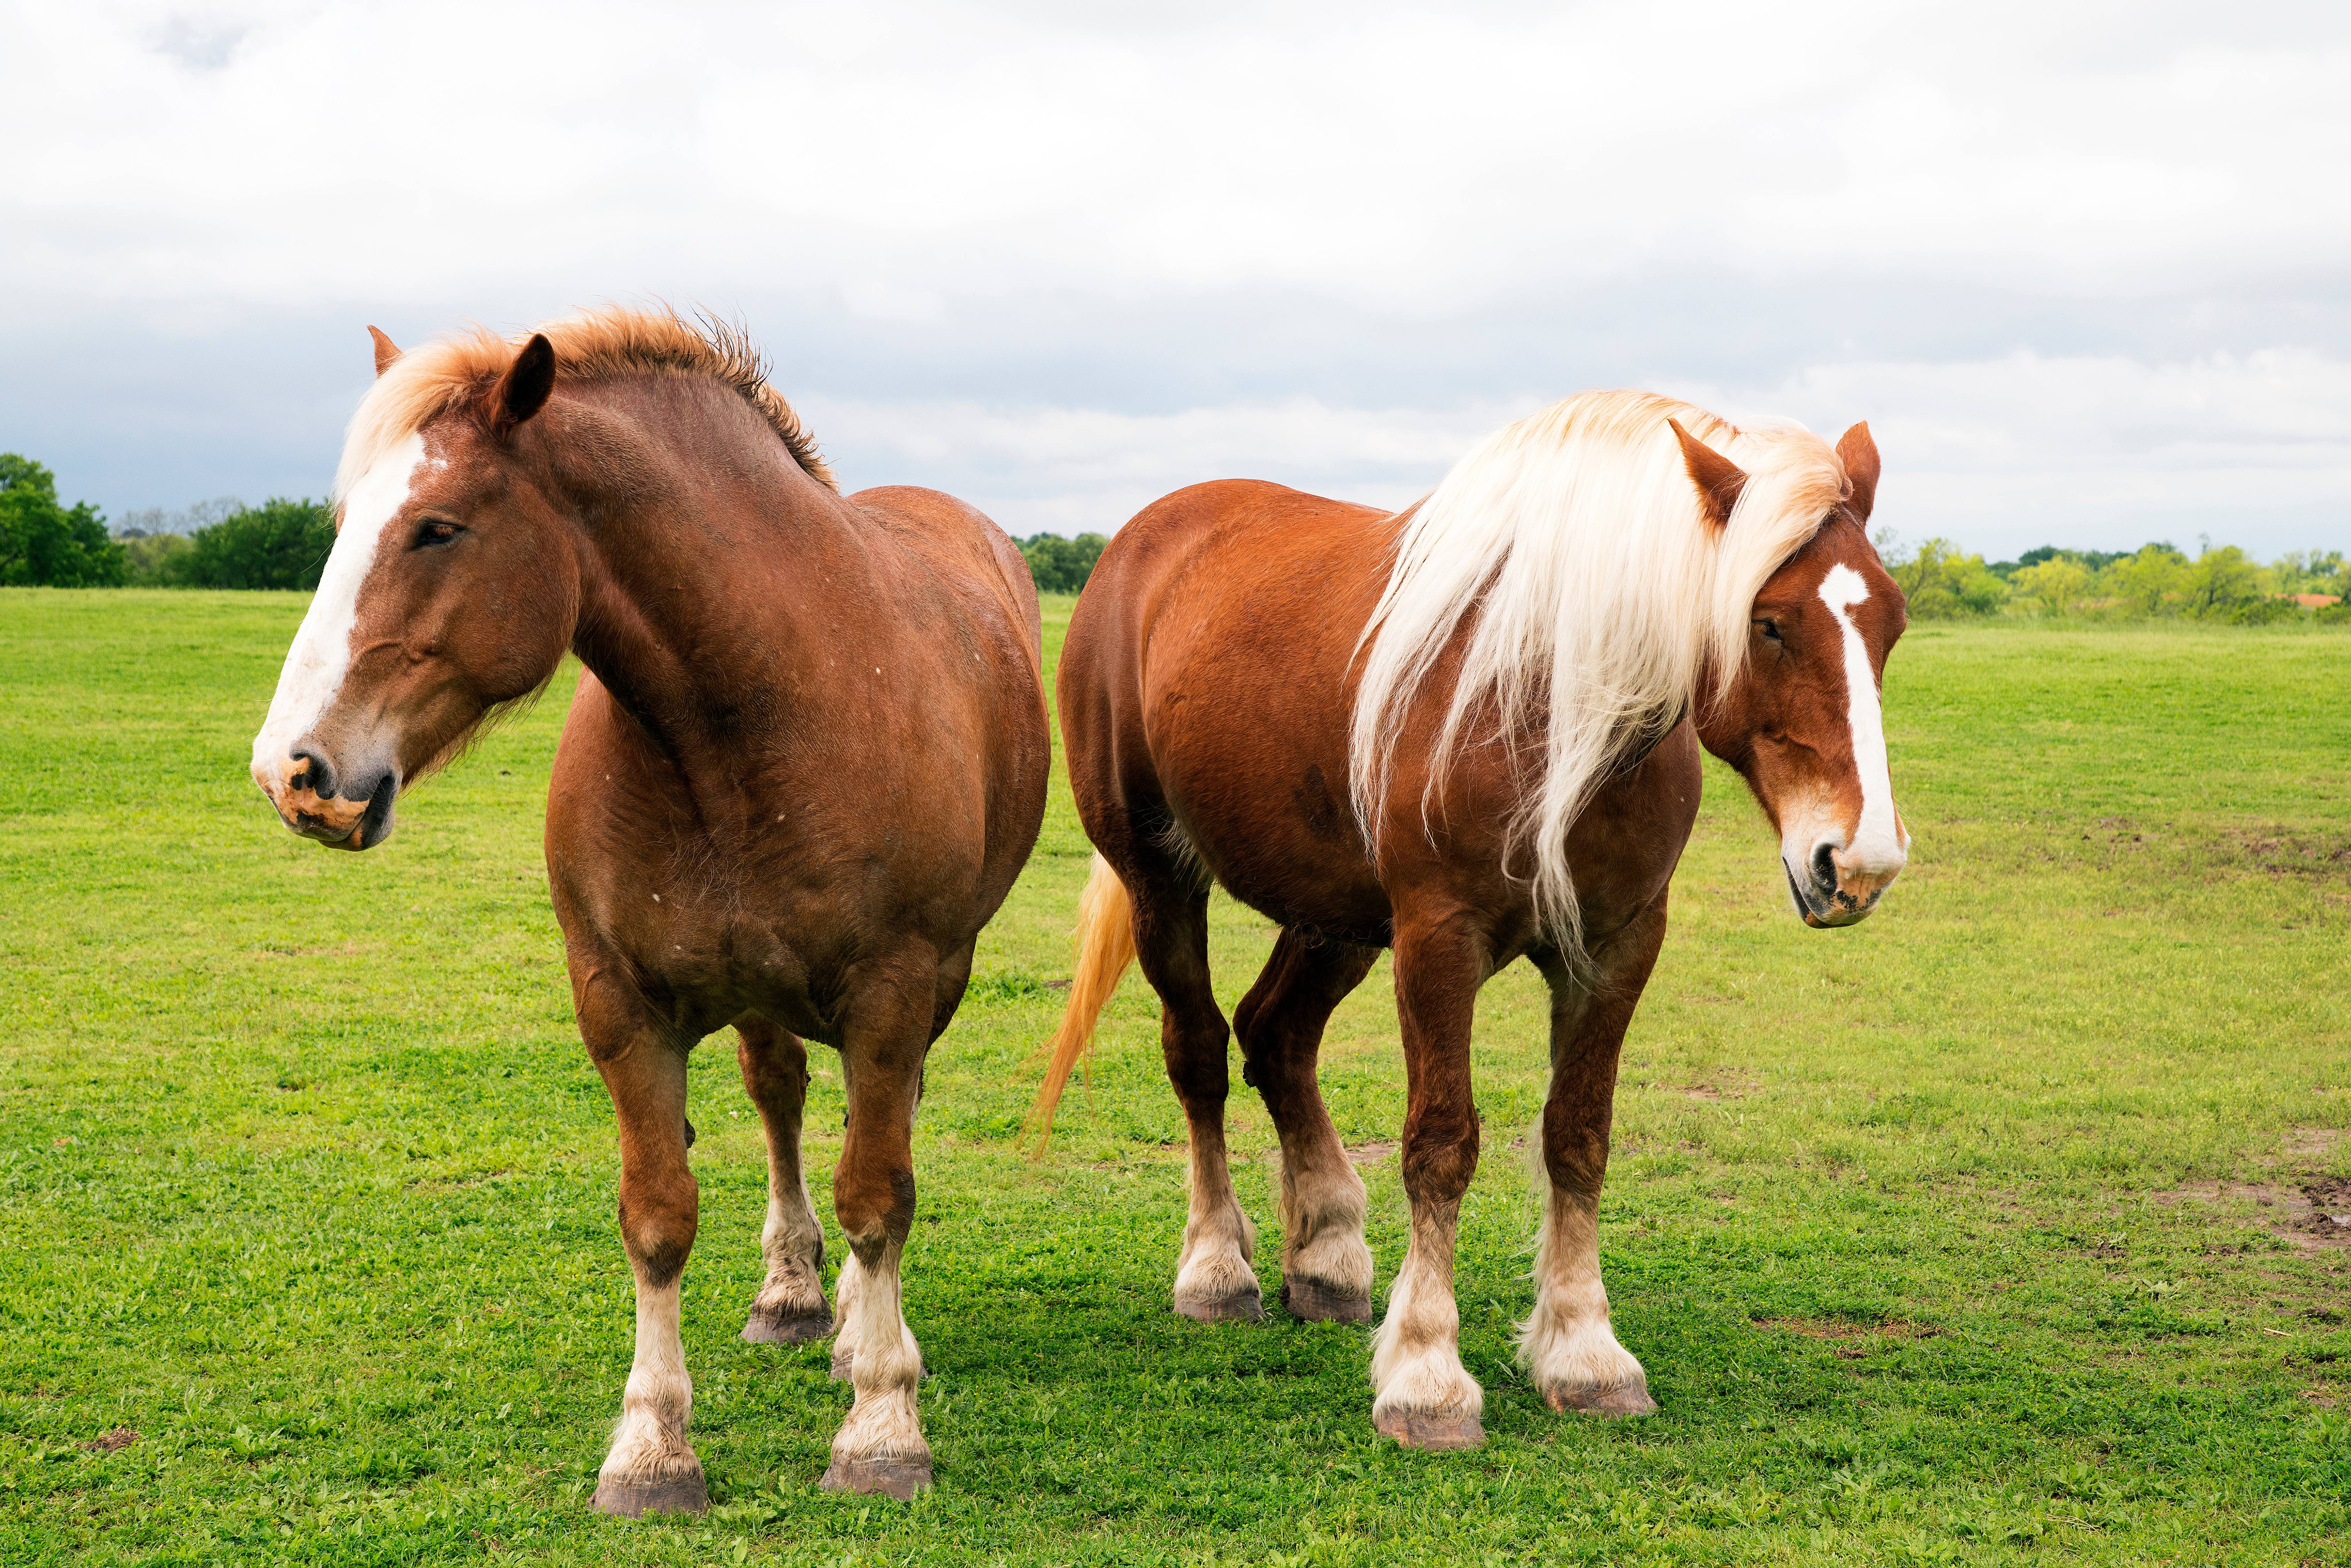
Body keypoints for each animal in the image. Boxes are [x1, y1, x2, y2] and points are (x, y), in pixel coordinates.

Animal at [250, 309, 1050, 1512]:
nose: (293, 771)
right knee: (779, 1097)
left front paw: (881, 1426)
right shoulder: (618, 1003)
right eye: (347, 526)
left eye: (438, 528)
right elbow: (658, 1215)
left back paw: (856, 1332)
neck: (750, 712)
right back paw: (793, 1296)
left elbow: (877, 1194)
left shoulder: (894, 991)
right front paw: (651, 1445)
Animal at [1030, 391, 1908, 1449]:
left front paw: (1583, 1350)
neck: (1553, 703)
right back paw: (1216, 1267)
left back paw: (1325, 1251)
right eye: (1769, 623)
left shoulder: (1616, 947)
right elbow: (1440, 1145)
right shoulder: (1437, 940)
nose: (1856, 862)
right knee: (1198, 1048)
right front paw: (1426, 1373)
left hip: (1335, 915)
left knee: (1276, 1036)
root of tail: (1141, 541)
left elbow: (1578, 1136)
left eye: (1892, 622)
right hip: (1161, 873)